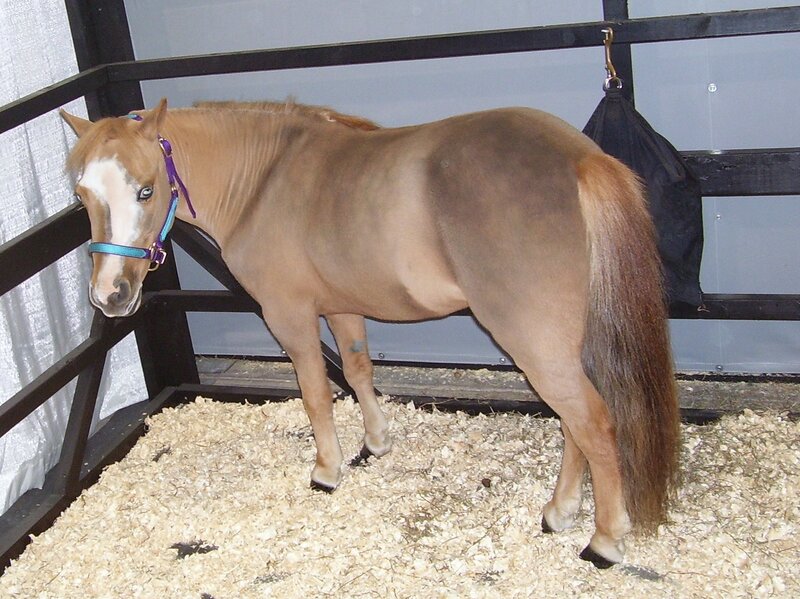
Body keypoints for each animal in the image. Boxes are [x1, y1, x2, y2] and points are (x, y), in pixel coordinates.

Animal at [60, 98, 680, 568]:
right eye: (83, 194)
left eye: (146, 190)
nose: (110, 295)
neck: (264, 181)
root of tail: (581, 158)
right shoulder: (342, 308)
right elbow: (358, 370)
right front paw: (375, 443)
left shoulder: (290, 316)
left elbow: (315, 394)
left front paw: (327, 470)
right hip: (559, 346)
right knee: (576, 425)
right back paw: (560, 511)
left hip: (534, 343)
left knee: (593, 423)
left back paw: (604, 540)